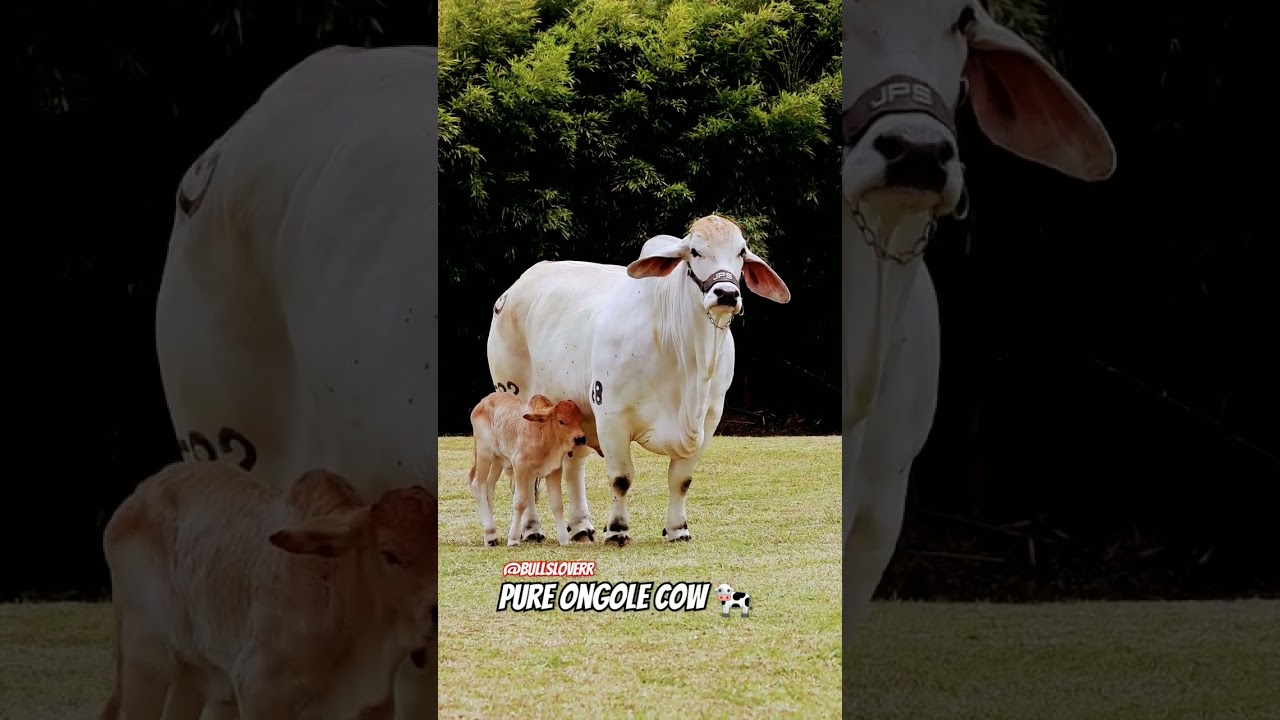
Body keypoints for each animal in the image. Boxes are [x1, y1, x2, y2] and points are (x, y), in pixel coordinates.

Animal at [100, 462, 437, 720]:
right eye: (390, 554)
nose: (436, 612)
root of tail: (135, 497)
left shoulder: (375, 706)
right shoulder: (259, 690)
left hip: (190, 673)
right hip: (145, 663)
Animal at [468, 392, 596, 547]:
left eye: (580, 420)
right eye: (561, 421)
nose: (580, 439)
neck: (543, 434)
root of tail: (482, 402)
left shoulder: (554, 470)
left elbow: (557, 504)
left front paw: (564, 539)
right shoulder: (519, 465)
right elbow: (520, 502)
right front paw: (513, 538)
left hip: (497, 461)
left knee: (489, 487)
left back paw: (491, 534)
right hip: (484, 454)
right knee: (478, 485)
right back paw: (489, 533)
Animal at [487, 215, 791, 547]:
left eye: (741, 252)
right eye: (695, 251)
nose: (726, 294)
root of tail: (513, 290)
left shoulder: (709, 420)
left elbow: (681, 480)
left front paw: (678, 529)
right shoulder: (611, 414)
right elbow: (621, 479)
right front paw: (617, 529)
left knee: (574, 467)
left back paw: (581, 527)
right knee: (525, 472)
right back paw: (531, 529)